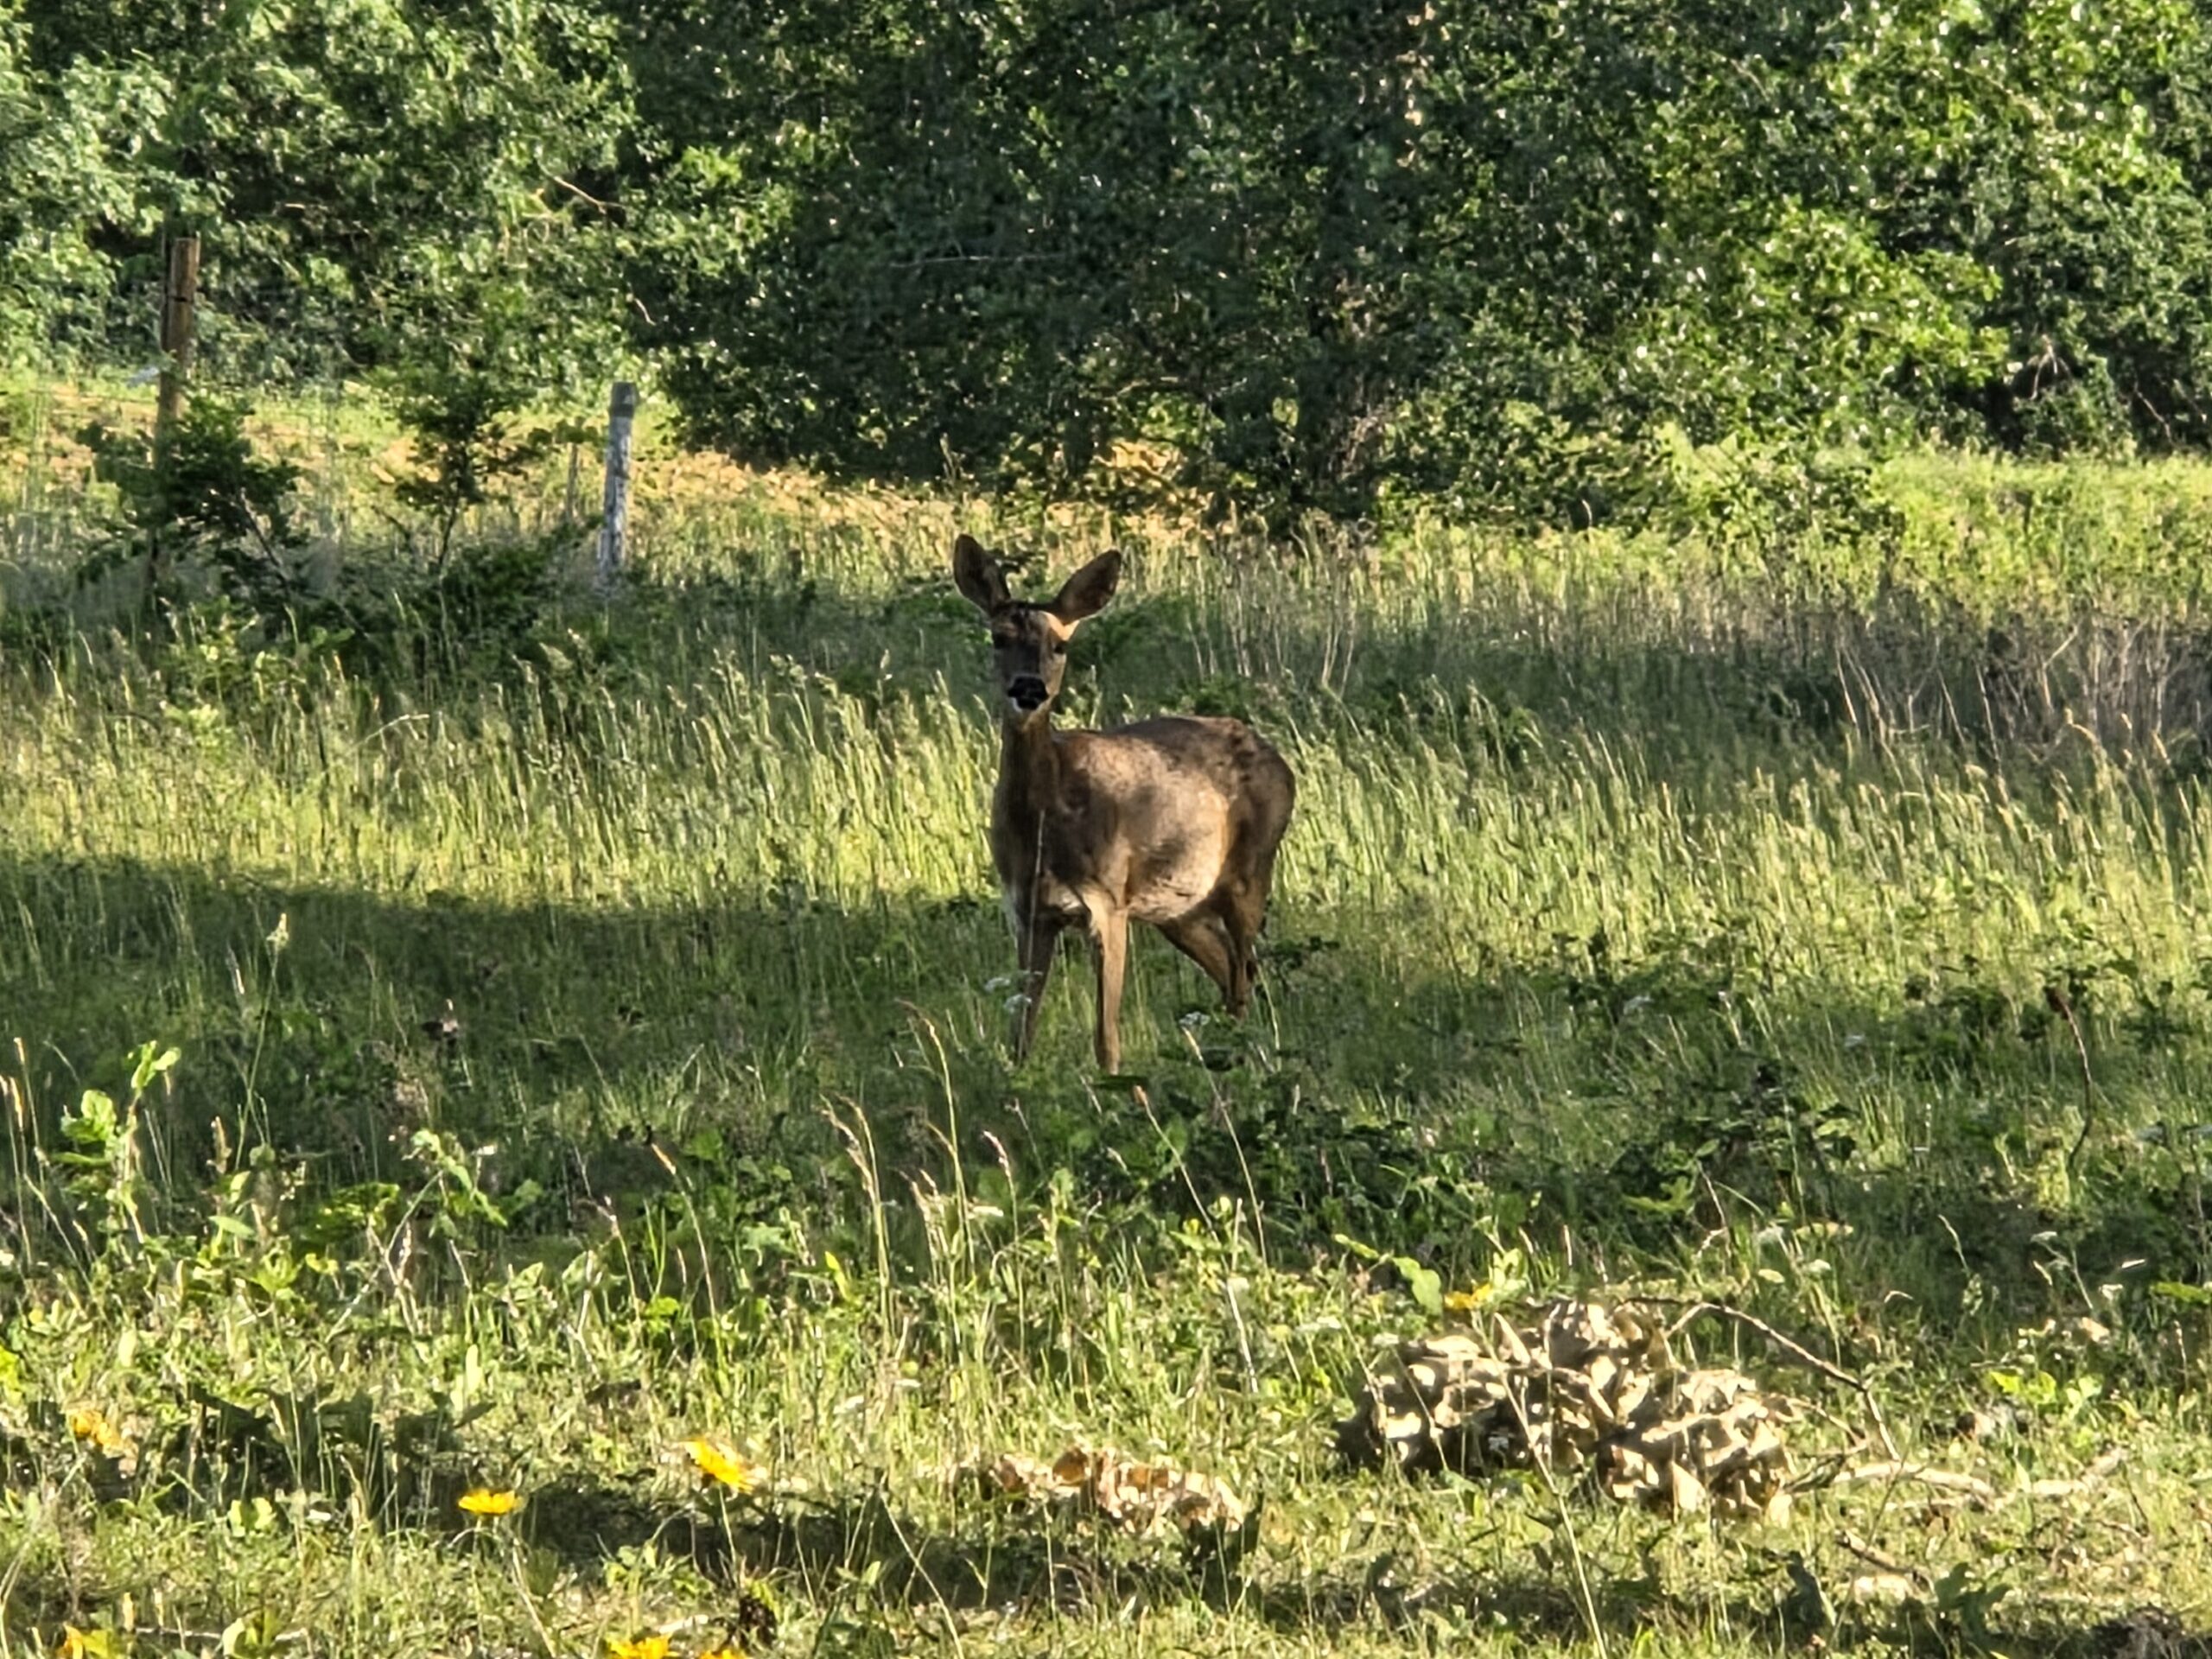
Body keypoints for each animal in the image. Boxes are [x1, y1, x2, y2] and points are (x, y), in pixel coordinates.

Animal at [953, 533, 1296, 1074]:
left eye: (1060, 645)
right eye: (998, 639)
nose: (1029, 689)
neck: (1044, 824)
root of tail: (1281, 762)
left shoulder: (1107, 902)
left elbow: (1106, 1035)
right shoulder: (1027, 911)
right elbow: (1020, 1031)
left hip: (1251, 872)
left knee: (1245, 971)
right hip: (1180, 908)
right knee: (1230, 971)